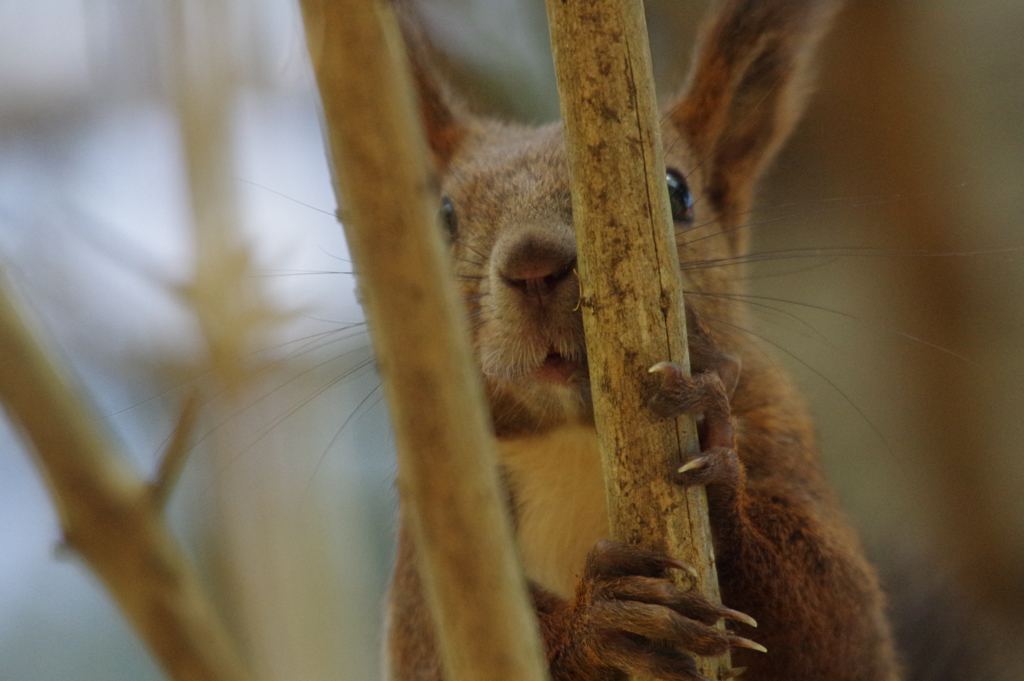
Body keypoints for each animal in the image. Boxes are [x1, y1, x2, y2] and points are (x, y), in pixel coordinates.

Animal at [385, 1, 905, 679]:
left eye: (677, 192)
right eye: (443, 216)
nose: (532, 264)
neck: (580, 443)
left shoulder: (779, 431)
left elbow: (842, 629)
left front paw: (712, 456)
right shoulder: (431, 542)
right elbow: (448, 654)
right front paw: (603, 617)